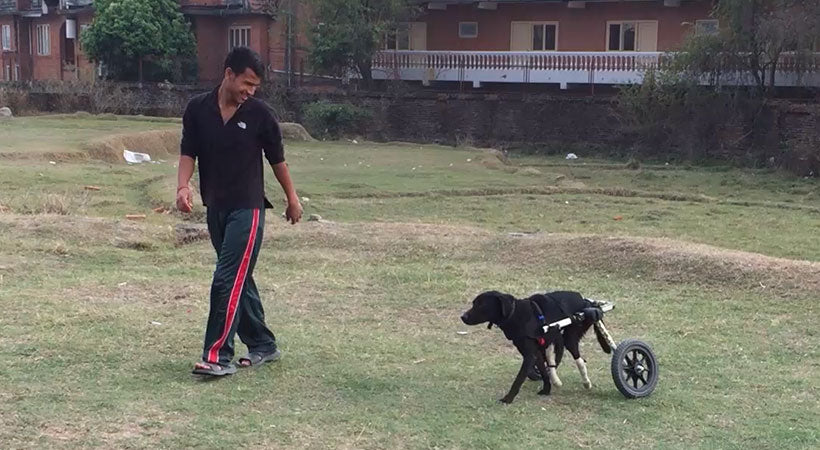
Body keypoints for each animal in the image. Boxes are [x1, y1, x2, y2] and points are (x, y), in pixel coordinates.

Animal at [462, 292, 608, 404]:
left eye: (481, 304)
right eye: (474, 303)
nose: (462, 317)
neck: (514, 314)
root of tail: (585, 301)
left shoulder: (529, 355)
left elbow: (518, 379)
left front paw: (508, 399)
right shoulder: (535, 353)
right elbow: (543, 372)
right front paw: (546, 390)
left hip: (570, 339)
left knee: (579, 361)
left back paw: (586, 382)